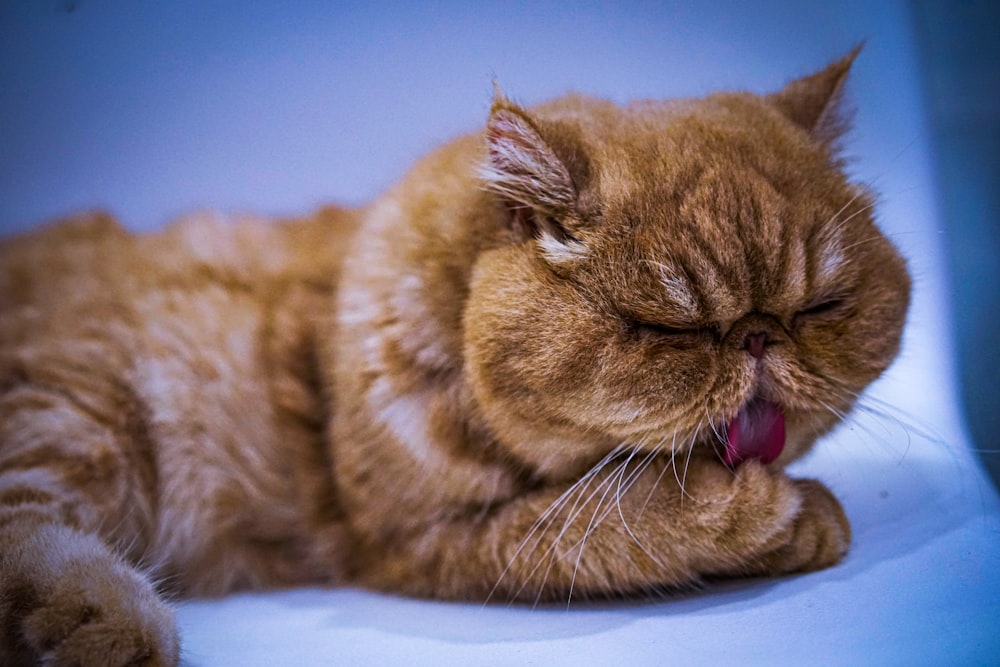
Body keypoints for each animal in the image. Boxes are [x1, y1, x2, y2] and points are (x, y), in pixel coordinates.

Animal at [0, 51, 912, 667]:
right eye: (669, 328)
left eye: (820, 307)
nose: (758, 335)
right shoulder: (422, 541)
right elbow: (613, 525)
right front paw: (769, 511)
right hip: (81, 414)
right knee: (30, 532)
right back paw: (115, 625)